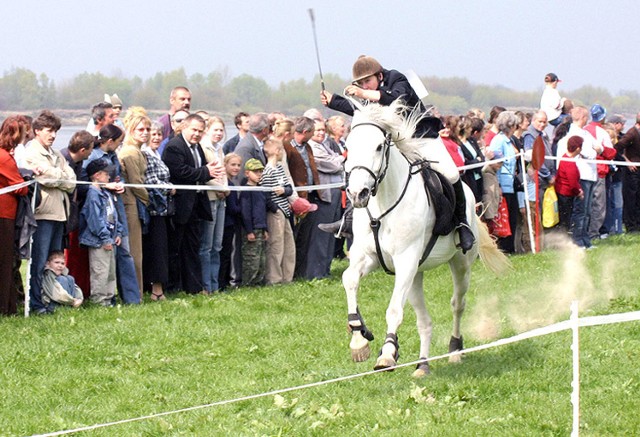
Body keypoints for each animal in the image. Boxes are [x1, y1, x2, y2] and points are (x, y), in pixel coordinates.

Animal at [342, 100, 508, 376]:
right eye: (348, 147)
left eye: (378, 147)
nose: (357, 194)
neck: (383, 206)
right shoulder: (369, 258)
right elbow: (350, 279)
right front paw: (358, 339)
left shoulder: (406, 259)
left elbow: (394, 310)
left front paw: (387, 353)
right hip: (415, 275)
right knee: (424, 321)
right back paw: (422, 365)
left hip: (459, 265)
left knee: (457, 304)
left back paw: (455, 350)